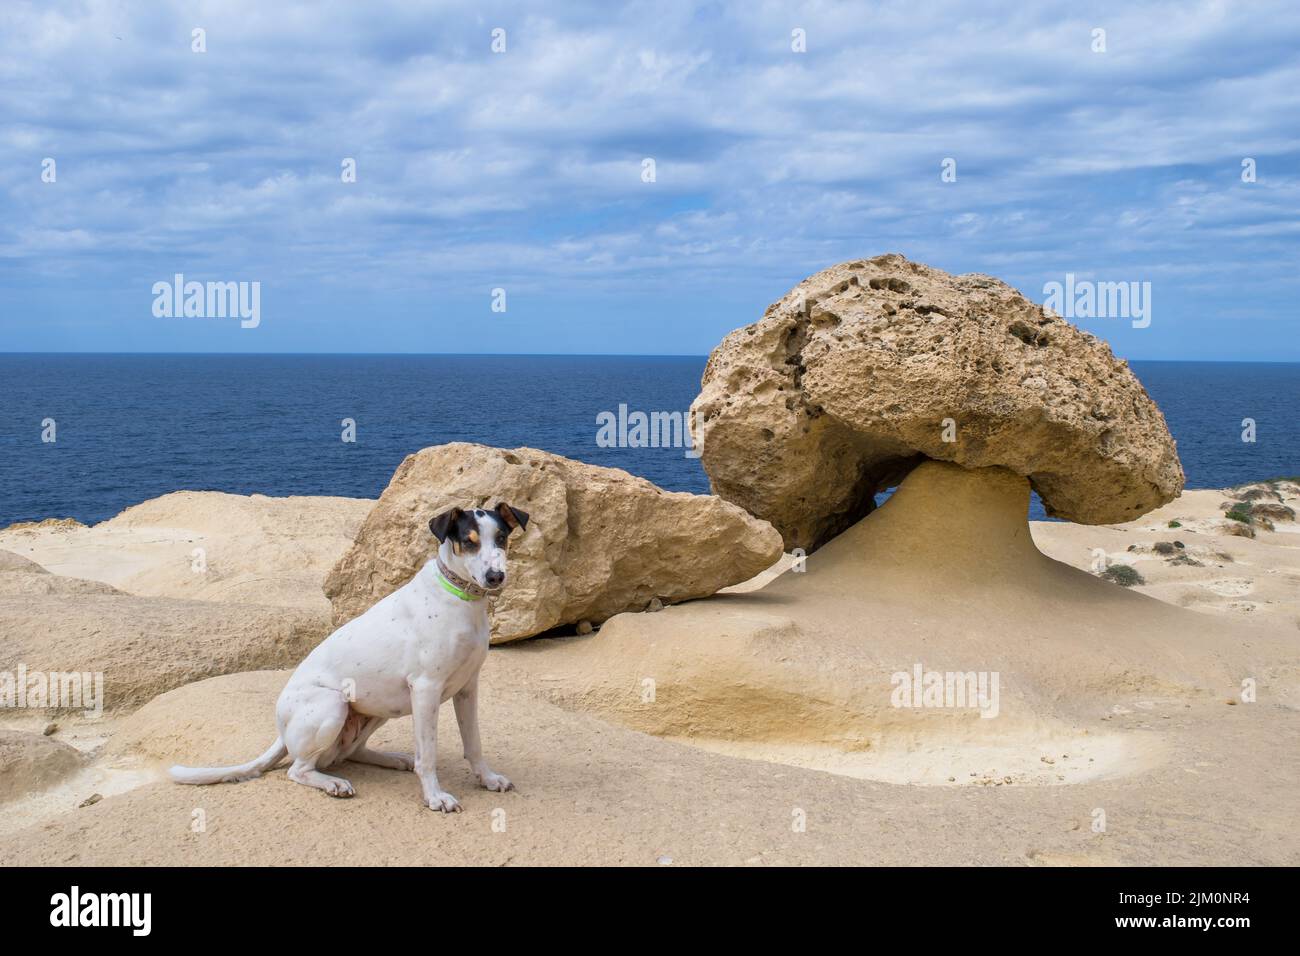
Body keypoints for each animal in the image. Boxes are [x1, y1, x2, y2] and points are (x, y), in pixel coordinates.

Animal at [171, 504, 527, 811]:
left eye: (501, 538)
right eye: (468, 542)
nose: (495, 577)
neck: (461, 598)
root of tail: (282, 732)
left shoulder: (467, 688)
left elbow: (474, 743)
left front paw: (488, 779)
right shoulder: (426, 689)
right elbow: (428, 754)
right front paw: (435, 797)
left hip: (378, 709)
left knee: (350, 753)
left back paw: (394, 759)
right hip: (333, 705)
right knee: (298, 769)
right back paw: (333, 783)